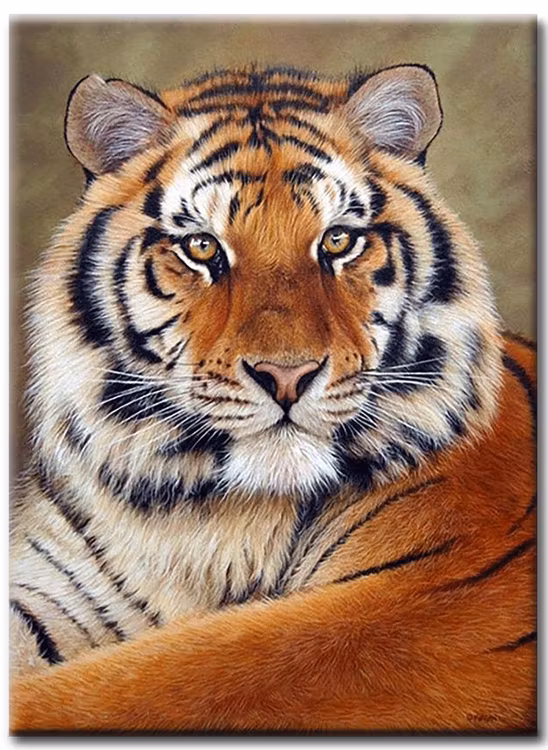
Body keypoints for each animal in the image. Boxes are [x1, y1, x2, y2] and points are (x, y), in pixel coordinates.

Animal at [10, 64, 536, 732]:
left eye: (338, 241)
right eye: (202, 248)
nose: (286, 376)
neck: (205, 517)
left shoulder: (415, 606)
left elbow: (153, 684)